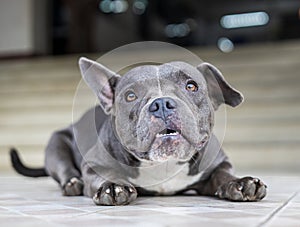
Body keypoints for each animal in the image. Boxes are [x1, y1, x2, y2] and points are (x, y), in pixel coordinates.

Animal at [9, 57, 268, 206]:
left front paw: (241, 183)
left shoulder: (218, 162)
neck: (164, 164)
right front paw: (113, 186)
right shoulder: (93, 165)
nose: (161, 103)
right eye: (130, 95)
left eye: (191, 86)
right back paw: (72, 184)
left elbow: (223, 174)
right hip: (57, 145)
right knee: (65, 170)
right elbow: (102, 175)